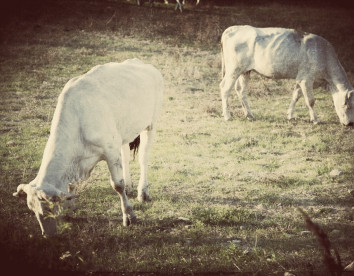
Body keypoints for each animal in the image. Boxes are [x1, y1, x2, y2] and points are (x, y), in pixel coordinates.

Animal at [12, 59, 165, 236]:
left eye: (49, 208)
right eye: (32, 209)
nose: (47, 235)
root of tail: (142, 63)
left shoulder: (110, 150)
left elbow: (117, 185)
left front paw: (129, 215)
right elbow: (71, 186)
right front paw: (69, 210)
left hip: (151, 124)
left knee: (143, 158)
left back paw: (143, 192)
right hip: (123, 133)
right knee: (126, 156)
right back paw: (129, 186)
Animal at [220, 25, 352, 126]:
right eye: (348, 105)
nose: (350, 123)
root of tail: (234, 28)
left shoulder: (301, 78)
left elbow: (296, 96)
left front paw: (290, 115)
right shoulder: (306, 79)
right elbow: (310, 101)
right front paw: (315, 119)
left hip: (245, 71)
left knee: (240, 90)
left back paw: (249, 115)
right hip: (233, 69)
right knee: (225, 88)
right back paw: (227, 116)